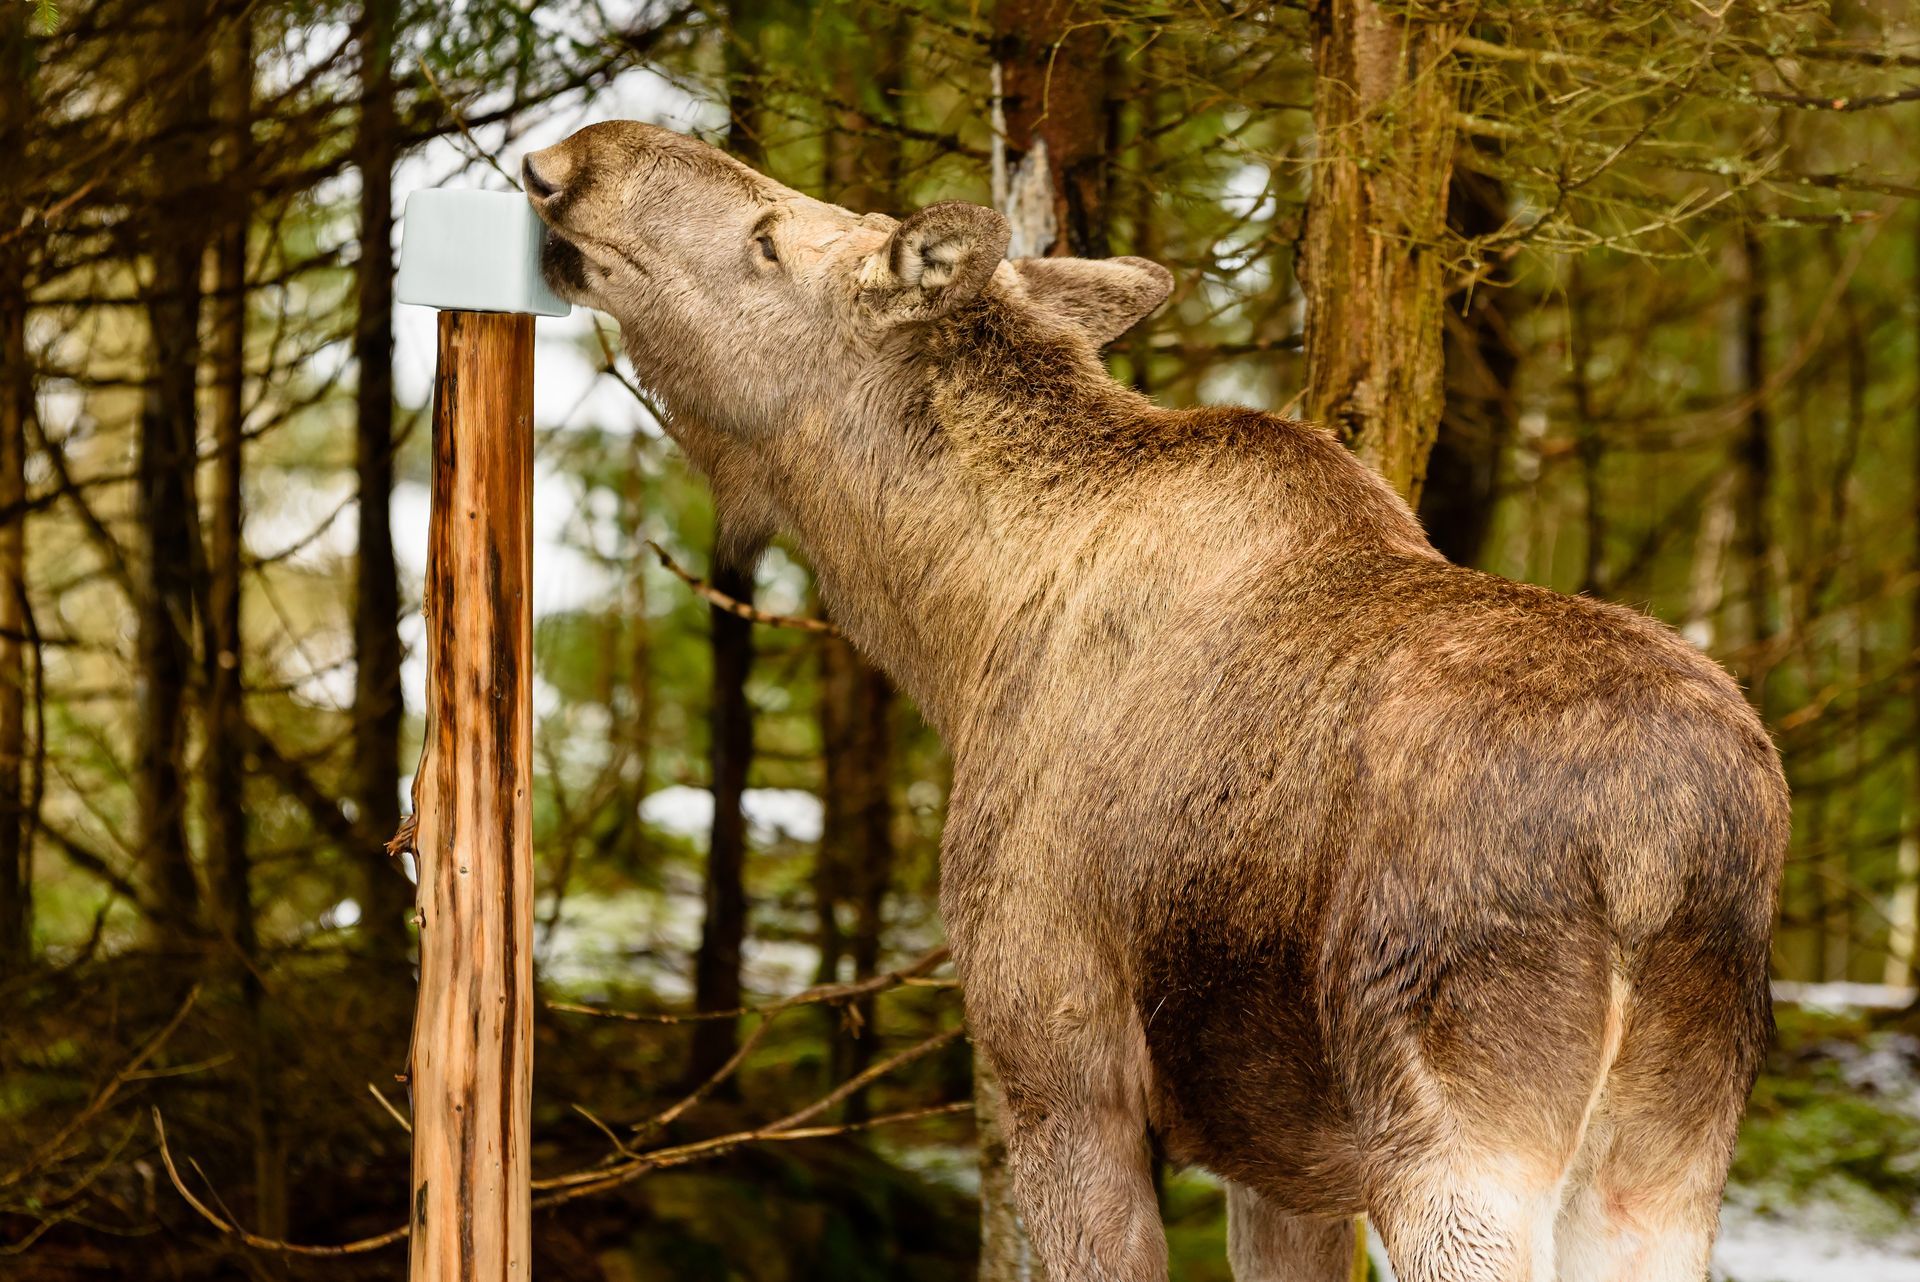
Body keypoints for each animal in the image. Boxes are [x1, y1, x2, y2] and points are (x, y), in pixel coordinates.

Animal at [524, 120, 1787, 1282]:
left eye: (769, 240)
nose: (572, 158)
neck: (954, 633)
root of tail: (1662, 851)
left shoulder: (1060, 1067)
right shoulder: (1281, 1161)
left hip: (1456, 1134)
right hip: (1666, 1156)